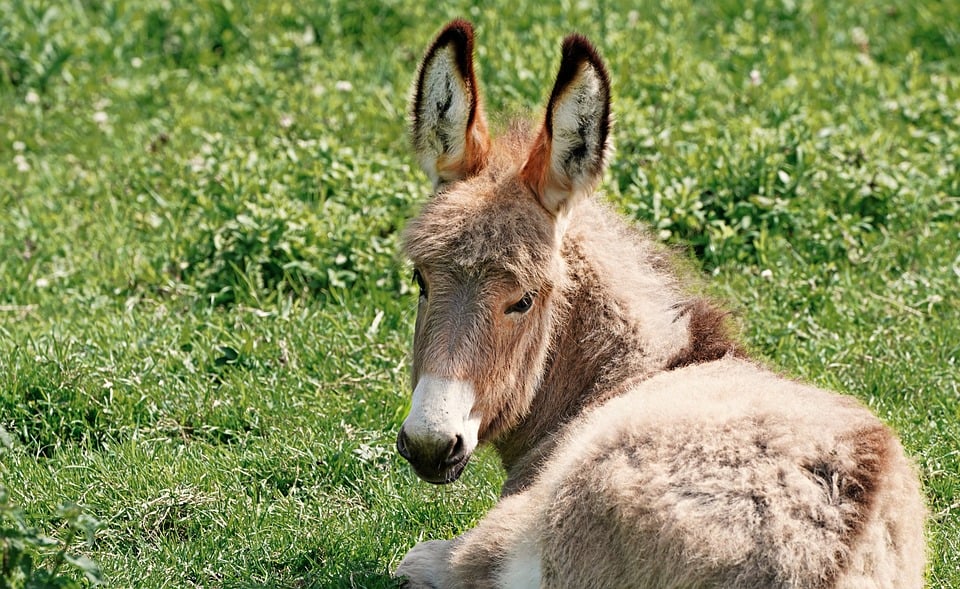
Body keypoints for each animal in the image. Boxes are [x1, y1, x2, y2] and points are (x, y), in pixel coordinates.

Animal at [394, 19, 928, 588]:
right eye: (421, 279)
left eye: (524, 300)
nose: (430, 443)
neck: (635, 372)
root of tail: (818, 560)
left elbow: (423, 559)